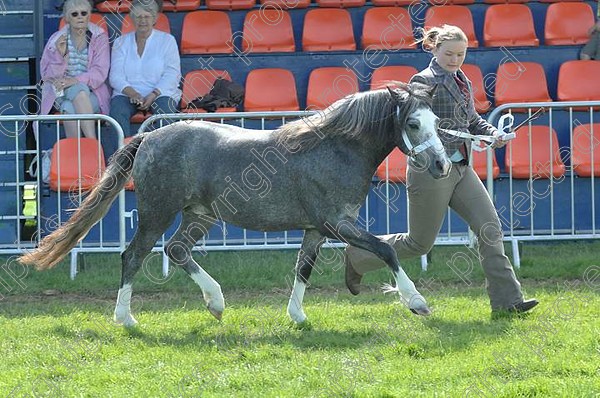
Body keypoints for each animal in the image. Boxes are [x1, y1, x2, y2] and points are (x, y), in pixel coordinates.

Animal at [19, 84, 450, 326]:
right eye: (413, 124)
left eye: (437, 122)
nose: (442, 166)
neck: (335, 147)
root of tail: (149, 138)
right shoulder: (336, 223)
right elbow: (386, 250)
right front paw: (417, 303)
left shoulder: (316, 229)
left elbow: (303, 269)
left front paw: (298, 317)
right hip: (157, 213)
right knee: (133, 255)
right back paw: (126, 319)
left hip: (199, 215)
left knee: (176, 250)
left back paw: (216, 303)